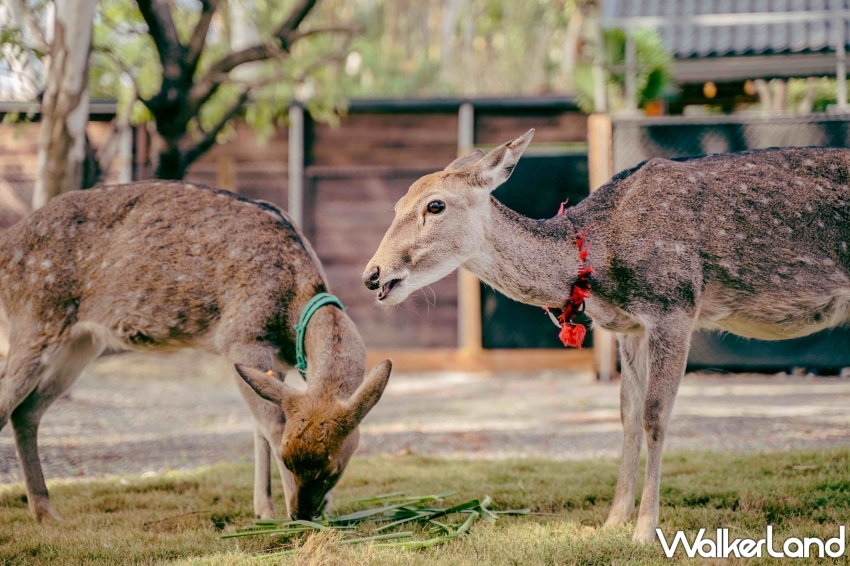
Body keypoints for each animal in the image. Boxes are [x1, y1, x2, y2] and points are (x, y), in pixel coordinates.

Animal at [0, 182, 390, 524]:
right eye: (289, 460)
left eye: (333, 470)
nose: (304, 513)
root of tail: (6, 247)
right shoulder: (240, 337)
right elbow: (271, 426)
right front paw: (276, 515)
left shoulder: (274, 363)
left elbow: (259, 429)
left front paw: (264, 509)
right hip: (34, 318)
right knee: (7, 404)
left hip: (80, 342)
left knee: (26, 411)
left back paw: (45, 512)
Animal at [362, 131, 848, 544]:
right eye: (397, 204)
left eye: (435, 206)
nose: (372, 275)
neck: (598, 260)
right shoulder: (629, 328)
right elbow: (627, 416)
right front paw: (613, 520)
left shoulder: (674, 305)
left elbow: (655, 416)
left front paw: (645, 531)